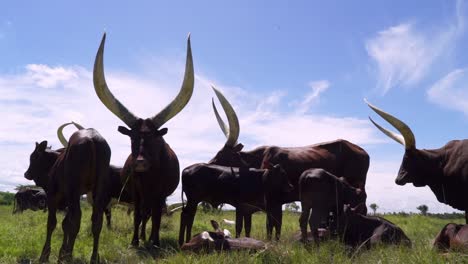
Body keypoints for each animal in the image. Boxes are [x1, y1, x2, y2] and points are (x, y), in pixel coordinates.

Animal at [92, 33, 195, 248]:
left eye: (156, 138)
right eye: (132, 137)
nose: (140, 162)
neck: (148, 177)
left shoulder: (160, 194)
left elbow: (156, 217)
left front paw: (155, 241)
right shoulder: (136, 192)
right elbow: (138, 216)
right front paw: (134, 241)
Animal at [209, 86, 370, 239]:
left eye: (221, 153)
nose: (208, 163)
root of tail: (363, 151)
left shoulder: (274, 201)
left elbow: (271, 224)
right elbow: (272, 225)